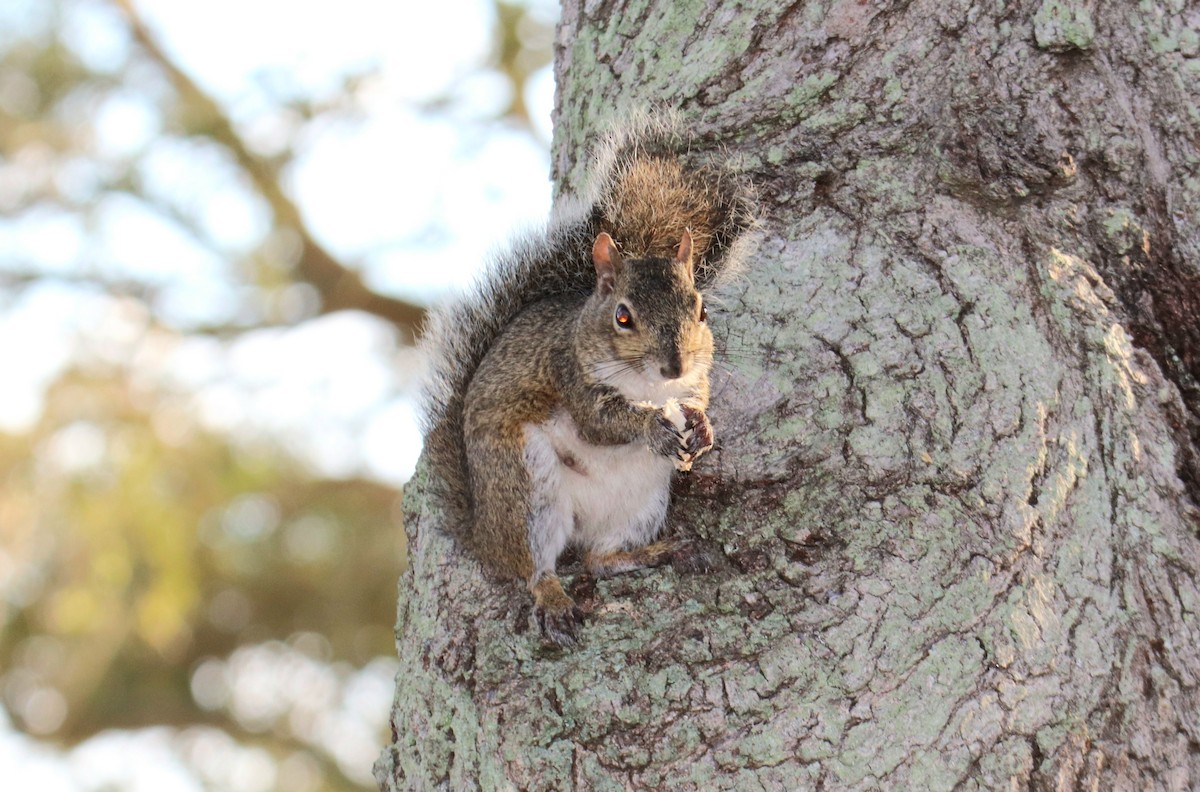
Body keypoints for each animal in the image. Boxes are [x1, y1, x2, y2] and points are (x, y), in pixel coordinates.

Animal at [420, 116, 758, 646]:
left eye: (701, 311)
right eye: (623, 316)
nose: (674, 367)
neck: (650, 390)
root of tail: (483, 536)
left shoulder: (693, 384)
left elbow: (699, 401)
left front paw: (703, 429)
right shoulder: (570, 375)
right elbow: (600, 423)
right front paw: (651, 428)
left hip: (641, 503)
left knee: (600, 559)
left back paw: (659, 551)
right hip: (525, 486)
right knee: (535, 568)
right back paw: (554, 599)